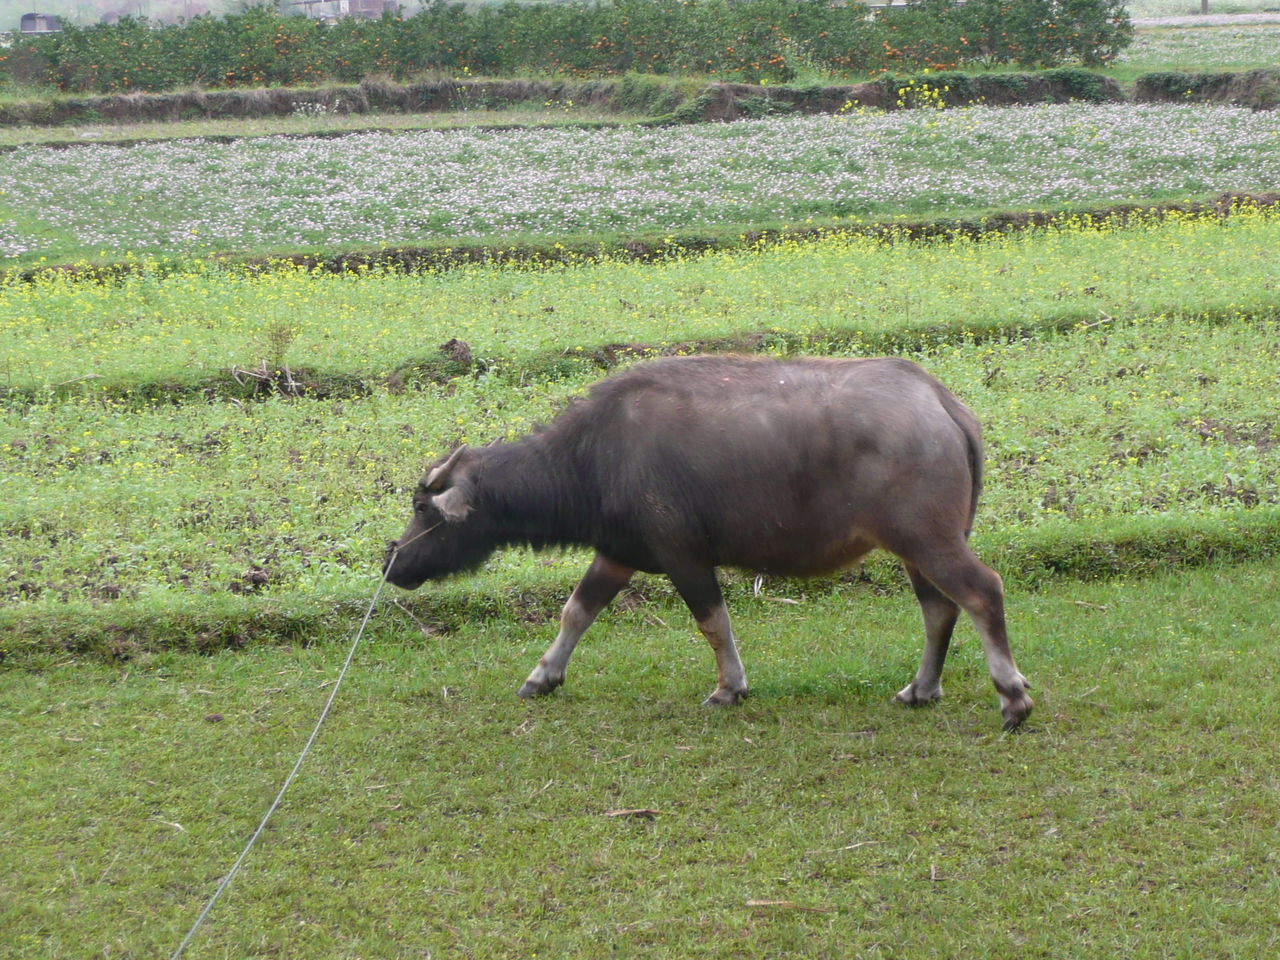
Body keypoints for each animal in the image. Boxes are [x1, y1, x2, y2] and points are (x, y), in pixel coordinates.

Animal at [384, 353, 1034, 727]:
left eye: (421, 508)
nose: (393, 563)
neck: (592, 458)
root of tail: (943, 403)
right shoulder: (617, 554)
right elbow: (576, 611)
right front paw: (543, 676)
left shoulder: (683, 555)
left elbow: (712, 622)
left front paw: (730, 688)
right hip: (917, 547)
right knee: (938, 610)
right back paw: (920, 689)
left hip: (928, 538)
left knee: (981, 592)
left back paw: (1011, 696)